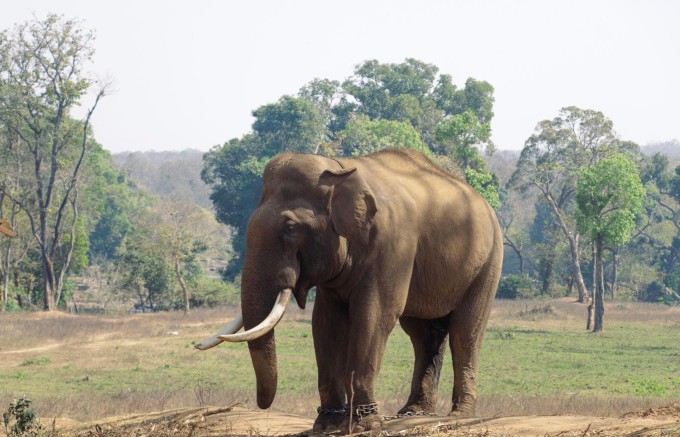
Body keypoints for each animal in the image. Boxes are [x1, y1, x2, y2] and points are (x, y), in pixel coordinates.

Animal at [196, 148, 503, 434]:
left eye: (290, 227)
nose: (261, 404)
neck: (339, 169)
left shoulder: (392, 244)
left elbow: (375, 315)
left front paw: (363, 424)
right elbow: (326, 322)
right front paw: (326, 425)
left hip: (488, 263)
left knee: (465, 332)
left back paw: (460, 414)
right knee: (422, 333)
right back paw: (413, 413)